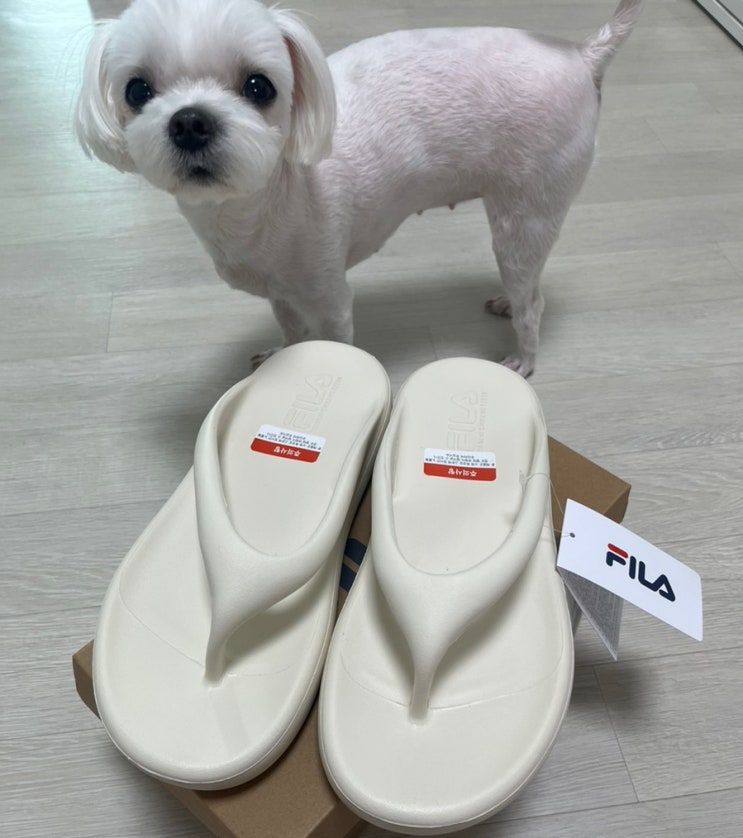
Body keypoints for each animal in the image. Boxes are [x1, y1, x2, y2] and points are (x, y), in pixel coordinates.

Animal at [75, 0, 643, 376]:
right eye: (137, 90)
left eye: (259, 87)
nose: (191, 122)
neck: (266, 198)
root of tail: (583, 55)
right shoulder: (282, 295)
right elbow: (291, 329)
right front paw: (282, 356)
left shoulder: (330, 297)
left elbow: (333, 338)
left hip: (524, 217)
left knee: (533, 300)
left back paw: (523, 356)